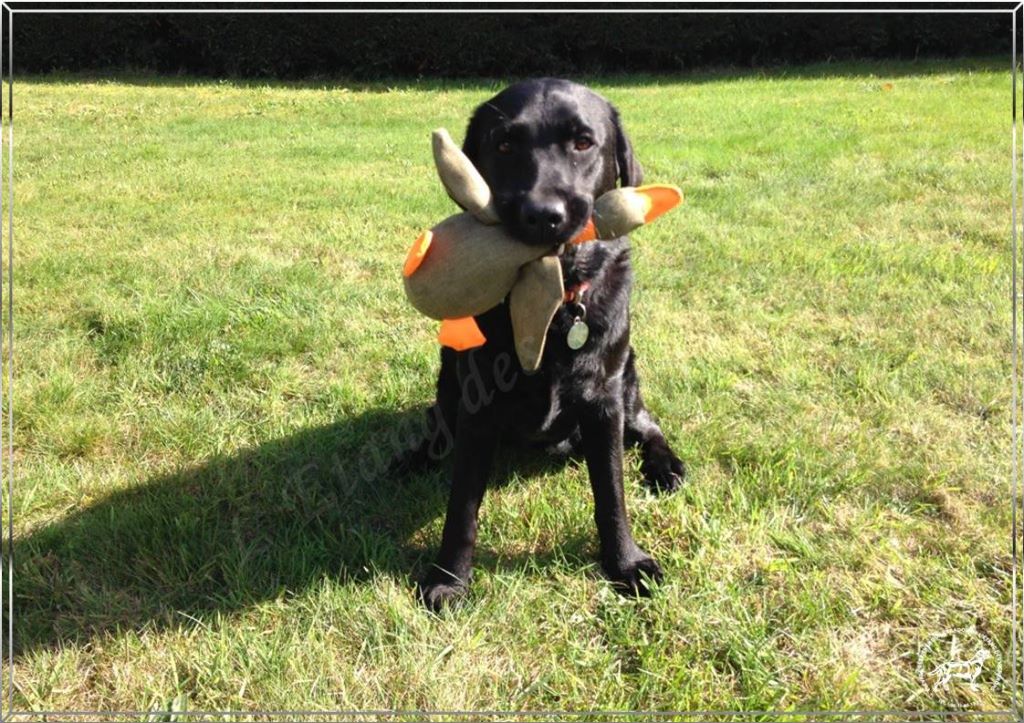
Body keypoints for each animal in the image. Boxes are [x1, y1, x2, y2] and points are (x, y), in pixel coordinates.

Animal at [395, 77, 684, 606]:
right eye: (505, 144)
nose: (543, 215)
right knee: (437, 425)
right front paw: (449, 578)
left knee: (647, 426)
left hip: (628, 370)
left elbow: (611, 493)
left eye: (584, 142)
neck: (555, 305)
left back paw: (666, 466)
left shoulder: (605, 400)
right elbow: (462, 506)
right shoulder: (478, 406)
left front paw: (625, 563)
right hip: (448, 373)